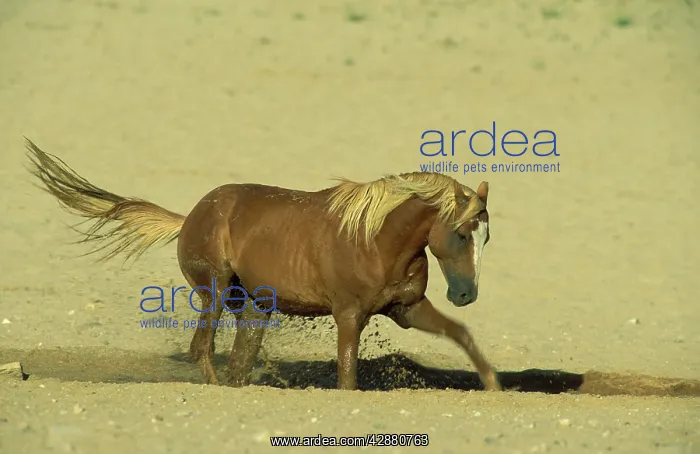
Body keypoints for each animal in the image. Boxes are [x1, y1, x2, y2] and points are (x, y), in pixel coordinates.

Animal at [25, 137, 501, 392]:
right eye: (461, 233)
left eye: (486, 236)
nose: (465, 294)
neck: (376, 239)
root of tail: (190, 216)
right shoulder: (349, 315)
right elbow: (347, 375)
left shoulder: (406, 309)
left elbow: (461, 333)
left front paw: (494, 386)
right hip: (214, 290)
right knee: (203, 348)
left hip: (254, 307)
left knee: (238, 359)